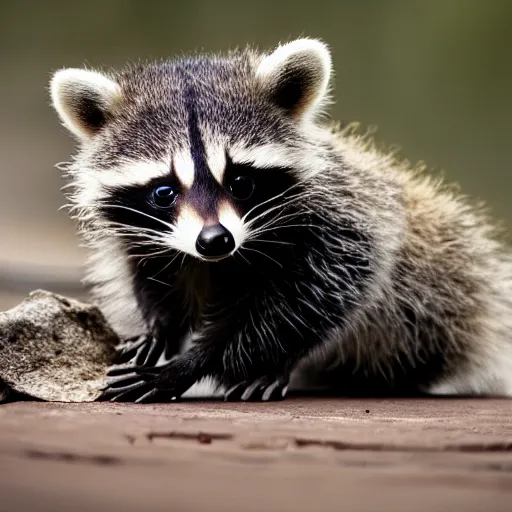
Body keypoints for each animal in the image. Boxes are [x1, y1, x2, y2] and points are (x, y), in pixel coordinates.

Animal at [49, 38, 512, 402]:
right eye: (164, 192)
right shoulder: (145, 235)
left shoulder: (341, 225)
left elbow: (303, 305)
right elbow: (153, 277)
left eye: (240, 182)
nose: (214, 240)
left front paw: (193, 362)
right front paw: (159, 328)